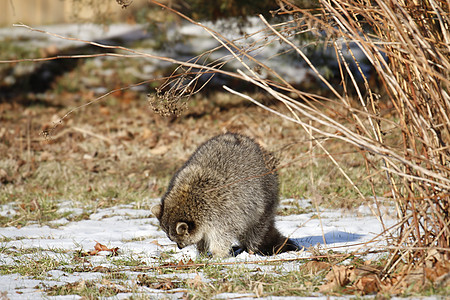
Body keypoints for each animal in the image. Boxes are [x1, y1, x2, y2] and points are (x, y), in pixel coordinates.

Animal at [151, 132, 298, 256]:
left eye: (176, 239)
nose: (180, 247)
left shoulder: (222, 214)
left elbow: (221, 236)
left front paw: (218, 254)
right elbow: (203, 237)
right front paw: (202, 251)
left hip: (266, 196)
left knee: (256, 230)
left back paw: (250, 249)